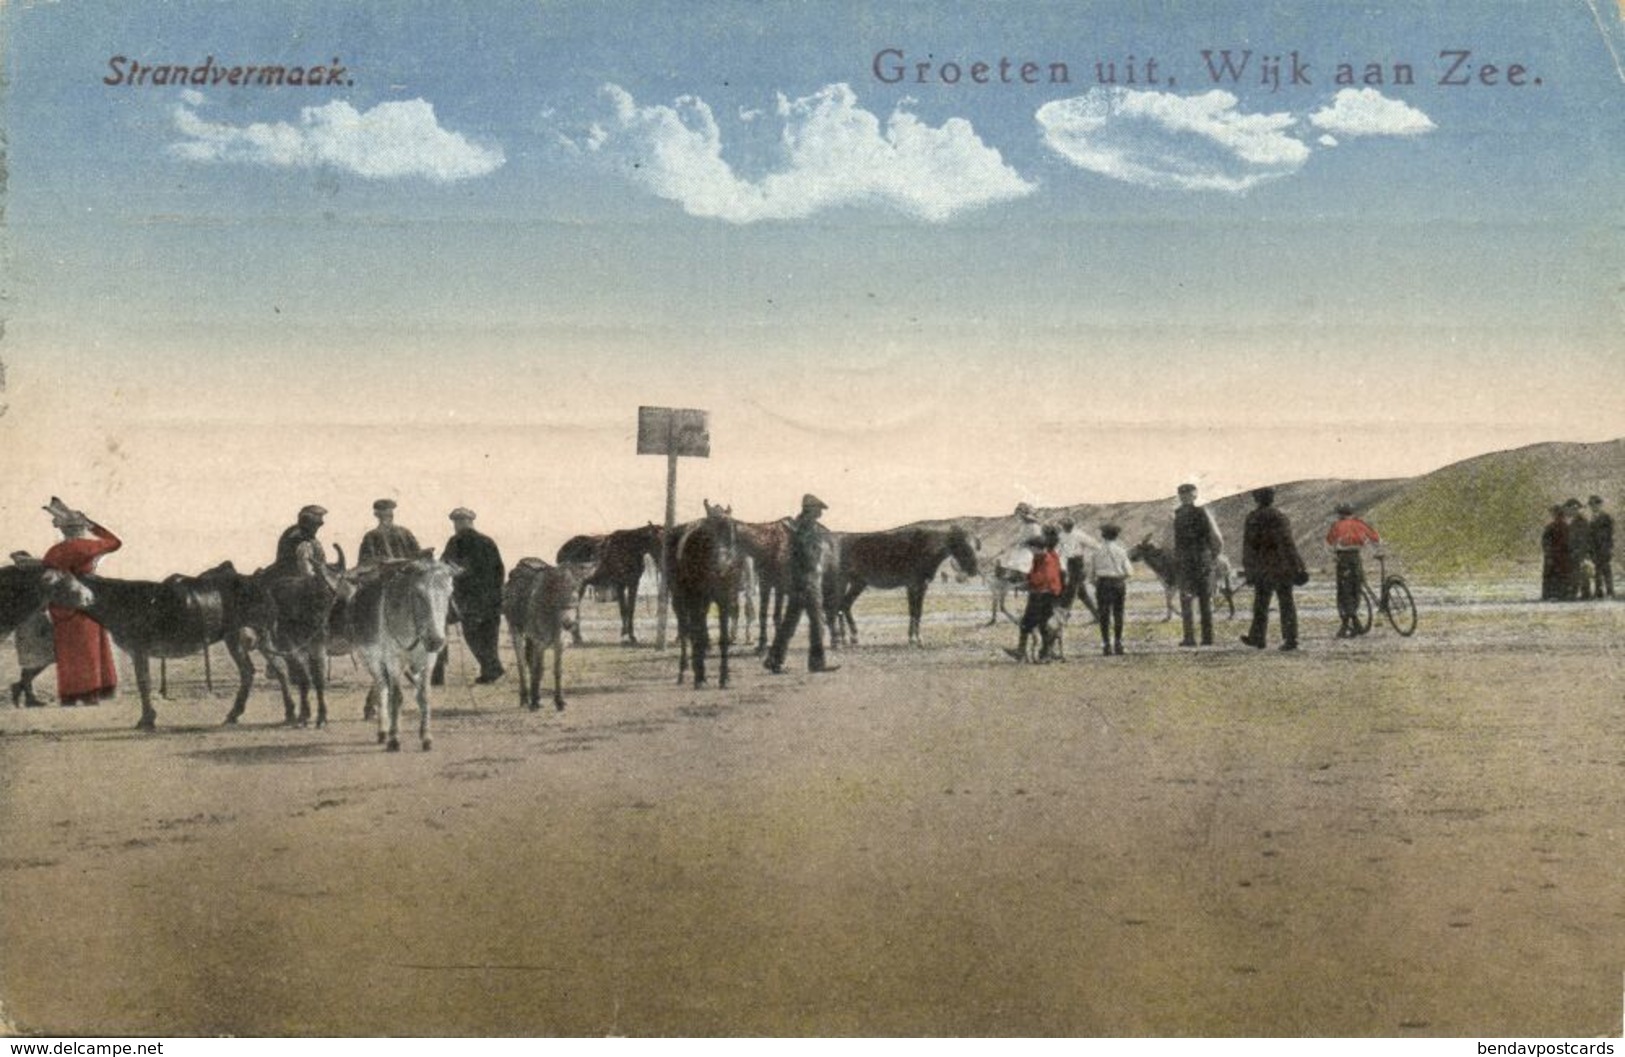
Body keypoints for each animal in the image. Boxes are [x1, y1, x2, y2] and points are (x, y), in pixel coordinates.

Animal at [349, 552, 461, 748]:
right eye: (418, 594)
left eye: (449, 593)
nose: (436, 640)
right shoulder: (394, 661)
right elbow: (397, 696)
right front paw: (394, 738)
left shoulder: (428, 660)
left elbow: (424, 695)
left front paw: (426, 736)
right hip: (372, 660)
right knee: (382, 688)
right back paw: (383, 731)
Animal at [666, 500, 747, 686]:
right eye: (709, 534)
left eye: (731, 530)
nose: (722, 566)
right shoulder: (696, 596)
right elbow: (696, 633)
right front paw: (700, 676)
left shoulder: (725, 598)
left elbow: (722, 636)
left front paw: (724, 676)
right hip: (680, 598)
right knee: (685, 629)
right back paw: (684, 670)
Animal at [838, 520, 975, 640]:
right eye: (962, 543)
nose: (972, 569)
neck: (925, 548)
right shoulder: (913, 586)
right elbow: (914, 611)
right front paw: (915, 638)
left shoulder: (921, 586)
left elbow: (917, 611)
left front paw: (915, 637)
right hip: (850, 583)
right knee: (842, 605)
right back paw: (846, 637)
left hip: (857, 583)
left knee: (844, 605)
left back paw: (849, 637)